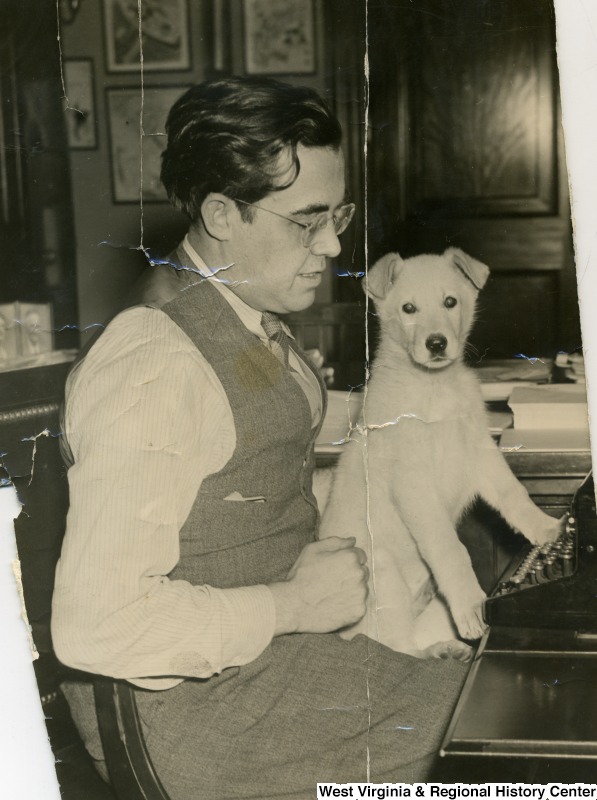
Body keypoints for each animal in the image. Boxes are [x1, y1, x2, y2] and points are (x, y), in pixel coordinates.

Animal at [318, 248, 560, 656]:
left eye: (450, 301)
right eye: (408, 308)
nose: (436, 344)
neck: (433, 387)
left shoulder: (479, 450)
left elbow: (514, 493)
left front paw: (549, 528)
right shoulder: (413, 482)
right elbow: (450, 548)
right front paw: (471, 605)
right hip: (382, 575)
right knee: (393, 647)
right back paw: (438, 650)